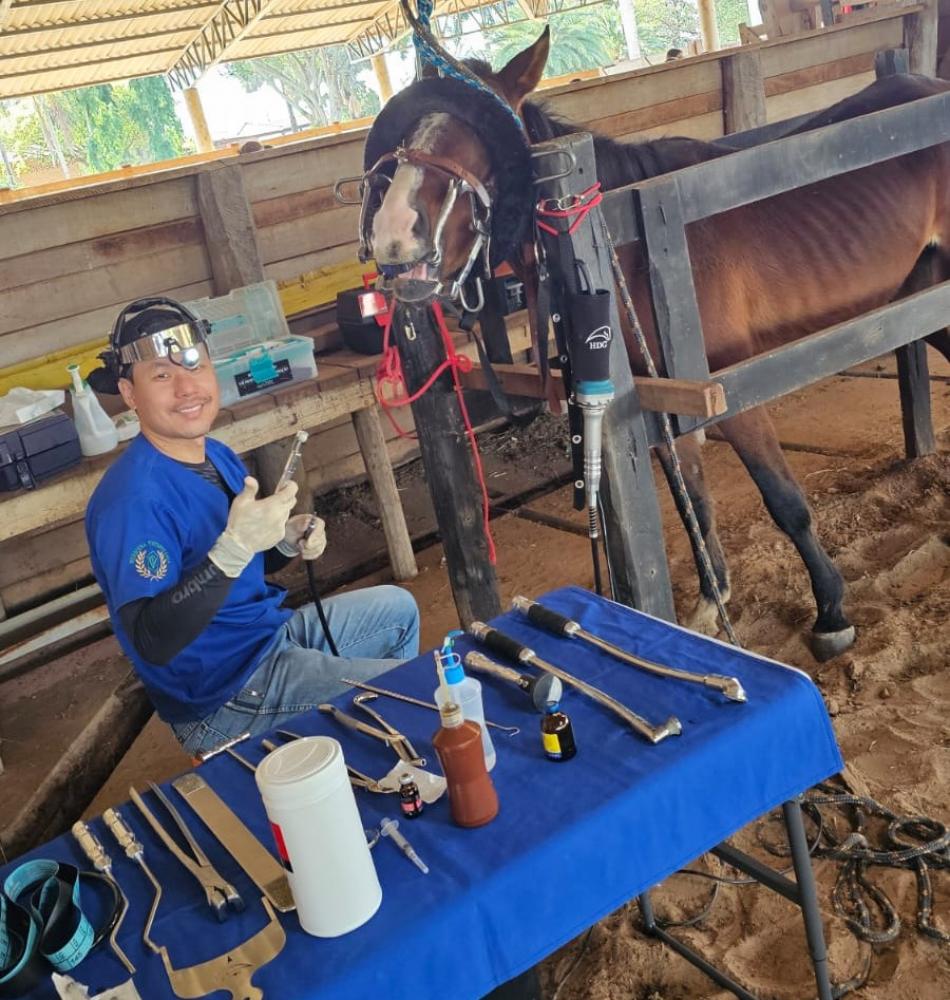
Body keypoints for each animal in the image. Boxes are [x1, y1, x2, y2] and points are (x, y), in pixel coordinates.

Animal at [366, 29, 950, 656]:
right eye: (405, 141)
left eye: (483, 141)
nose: (394, 243)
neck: (628, 244)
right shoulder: (662, 414)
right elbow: (693, 505)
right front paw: (711, 605)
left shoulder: (734, 397)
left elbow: (785, 503)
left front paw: (832, 612)